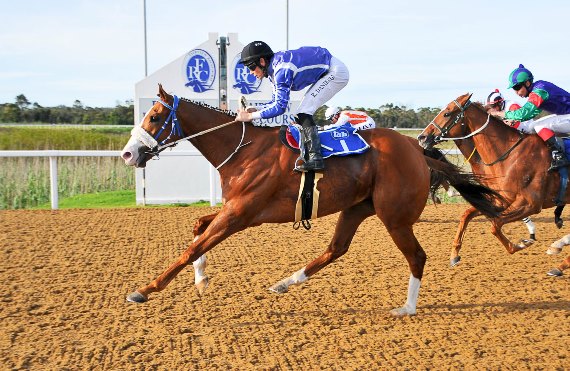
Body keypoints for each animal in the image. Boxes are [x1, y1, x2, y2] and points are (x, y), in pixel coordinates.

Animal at [121, 85, 502, 316]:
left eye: (155, 116)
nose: (128, 153)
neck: (244, 150)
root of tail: (415, 148)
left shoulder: (241, 213)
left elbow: (192, 248)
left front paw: (145, 289)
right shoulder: (236, 209)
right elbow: (198, 229)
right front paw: (201, 279)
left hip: (393, 216)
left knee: (417, 256)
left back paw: (407, 308)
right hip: (357, 207)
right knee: (336, 249)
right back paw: (285, 282)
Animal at [418, 93, 568, 274]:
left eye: (447, 113)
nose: (422, 137)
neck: (509, 155)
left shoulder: (531, 204)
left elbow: (495, 225)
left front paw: (520, 244)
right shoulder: (499, 198)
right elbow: (467, 214)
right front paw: (454, 254)